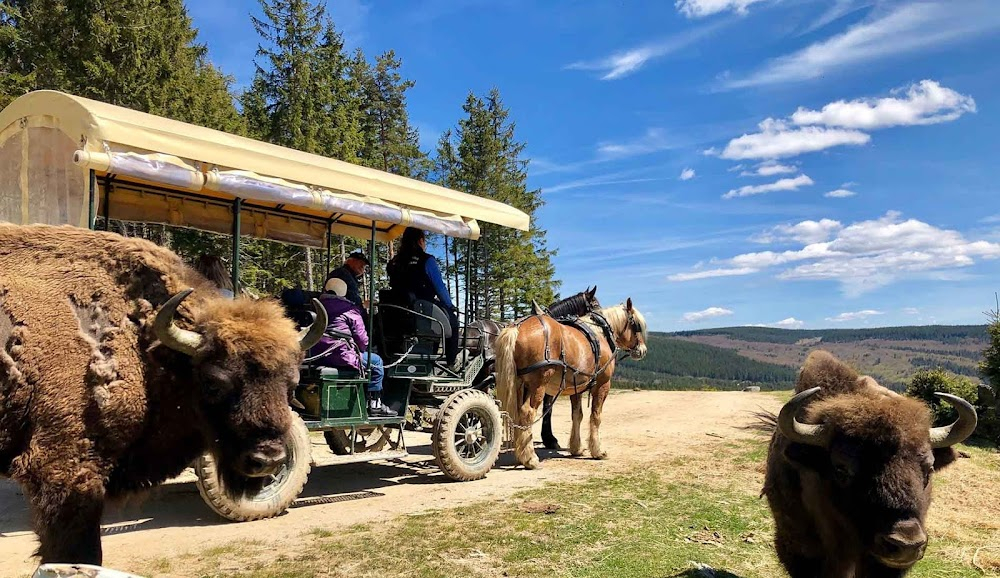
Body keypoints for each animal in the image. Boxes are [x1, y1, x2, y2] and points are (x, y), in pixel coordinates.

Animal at [494, 296, 648, 468]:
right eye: (636, 325)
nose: (642, 350)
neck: (600, 333)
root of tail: (516, 327)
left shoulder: (577, 387)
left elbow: (577, 415)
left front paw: (576, 447)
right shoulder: (603, 384)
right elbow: (596, 416)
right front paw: (598, 451)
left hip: (520, 384)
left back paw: (521, 454)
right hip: (538, 383)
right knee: (527, 413)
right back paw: (530, 458)